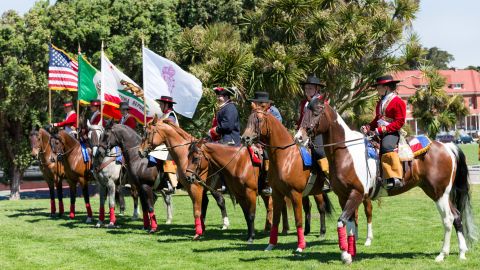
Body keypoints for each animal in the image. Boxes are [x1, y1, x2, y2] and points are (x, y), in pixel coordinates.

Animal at [244, 110, 334, 253]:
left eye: (259, 120)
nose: (245, 138)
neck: (286, 157)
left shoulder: (295, 194)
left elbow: (298, 220)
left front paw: (300, 246)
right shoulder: (277, 194)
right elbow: (276, 220)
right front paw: (271, 244)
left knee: (322, 208)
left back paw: (323, 232)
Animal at [296, 99, 476, 264]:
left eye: (316, 112)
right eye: (304, 111)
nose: (299, 137)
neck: (346, 153)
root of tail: (447, 147)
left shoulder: (356, 194)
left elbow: (342, 222)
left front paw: (346, 255)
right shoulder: (343, 196)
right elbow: (350, 225)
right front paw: (350, 253)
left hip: (440, 193)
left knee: (448, 219)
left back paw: (442, 255)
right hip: (437, 192)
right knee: (457, 216)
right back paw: (461, 252)